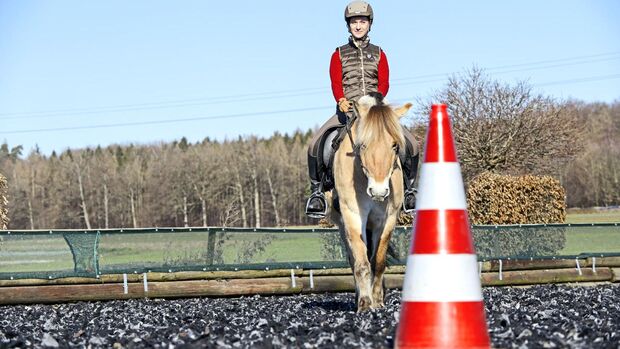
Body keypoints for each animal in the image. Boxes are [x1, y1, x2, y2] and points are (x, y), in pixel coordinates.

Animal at [330, 92, 412, 310]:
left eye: (395, 145)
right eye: (363, 145)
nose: (378, 191)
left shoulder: (388, 218)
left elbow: (378, 261)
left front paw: (377, 300)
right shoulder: (353, 215)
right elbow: (361, 261)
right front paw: (365, 303)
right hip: (341, 223)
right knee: (353, 258)